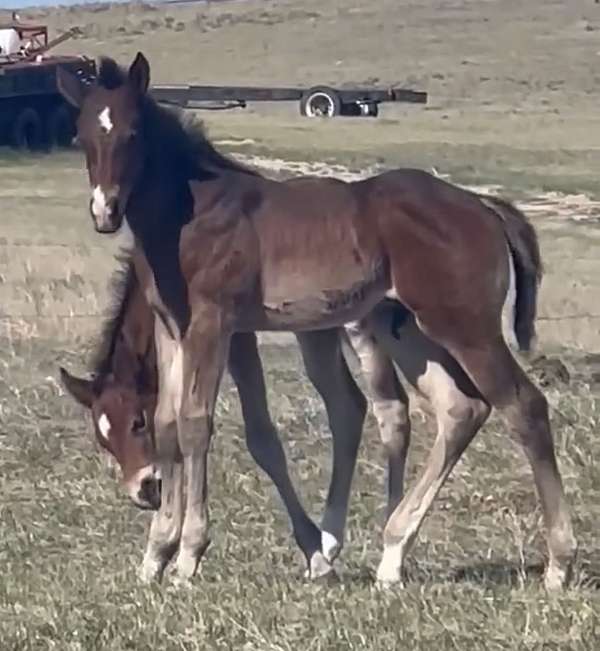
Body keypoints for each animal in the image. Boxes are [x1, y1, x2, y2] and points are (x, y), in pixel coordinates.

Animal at [56, 52, 576, 590]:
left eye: (133, 133)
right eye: (81, 137)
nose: (105, 211)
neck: (191, 214)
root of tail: (483, 205)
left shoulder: (215, 325)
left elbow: (197, 424)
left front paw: (188, 557)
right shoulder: (171, 328)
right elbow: (170, 424)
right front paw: (156, 553)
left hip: (464, 326)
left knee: (523, 407)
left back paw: (558, 564)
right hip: (409, 327)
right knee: (461, 409)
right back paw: (392, 555)